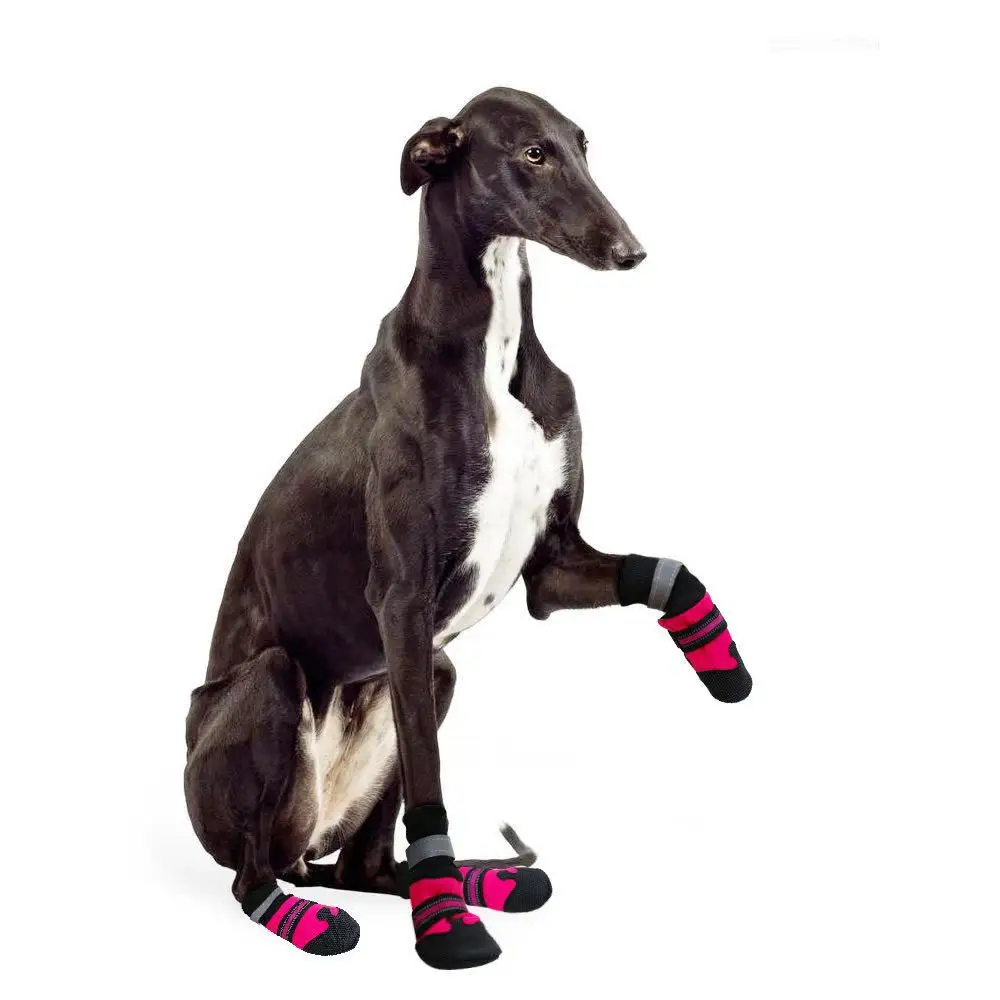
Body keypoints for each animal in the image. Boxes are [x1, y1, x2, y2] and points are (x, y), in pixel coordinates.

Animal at [185, 86, 751, 970]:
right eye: (531, 154)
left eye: (582, 145)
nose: (630, 252)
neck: (494, 346)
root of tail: (305, 846)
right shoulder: (404, 605)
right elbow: (431, 784)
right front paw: (446, 929)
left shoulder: (552, 568)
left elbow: (671, 570)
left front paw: (723, 667)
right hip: (282, 686)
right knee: (254, 878)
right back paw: (320, 916)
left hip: (433, 678)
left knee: (363, 866)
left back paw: (491, 880)